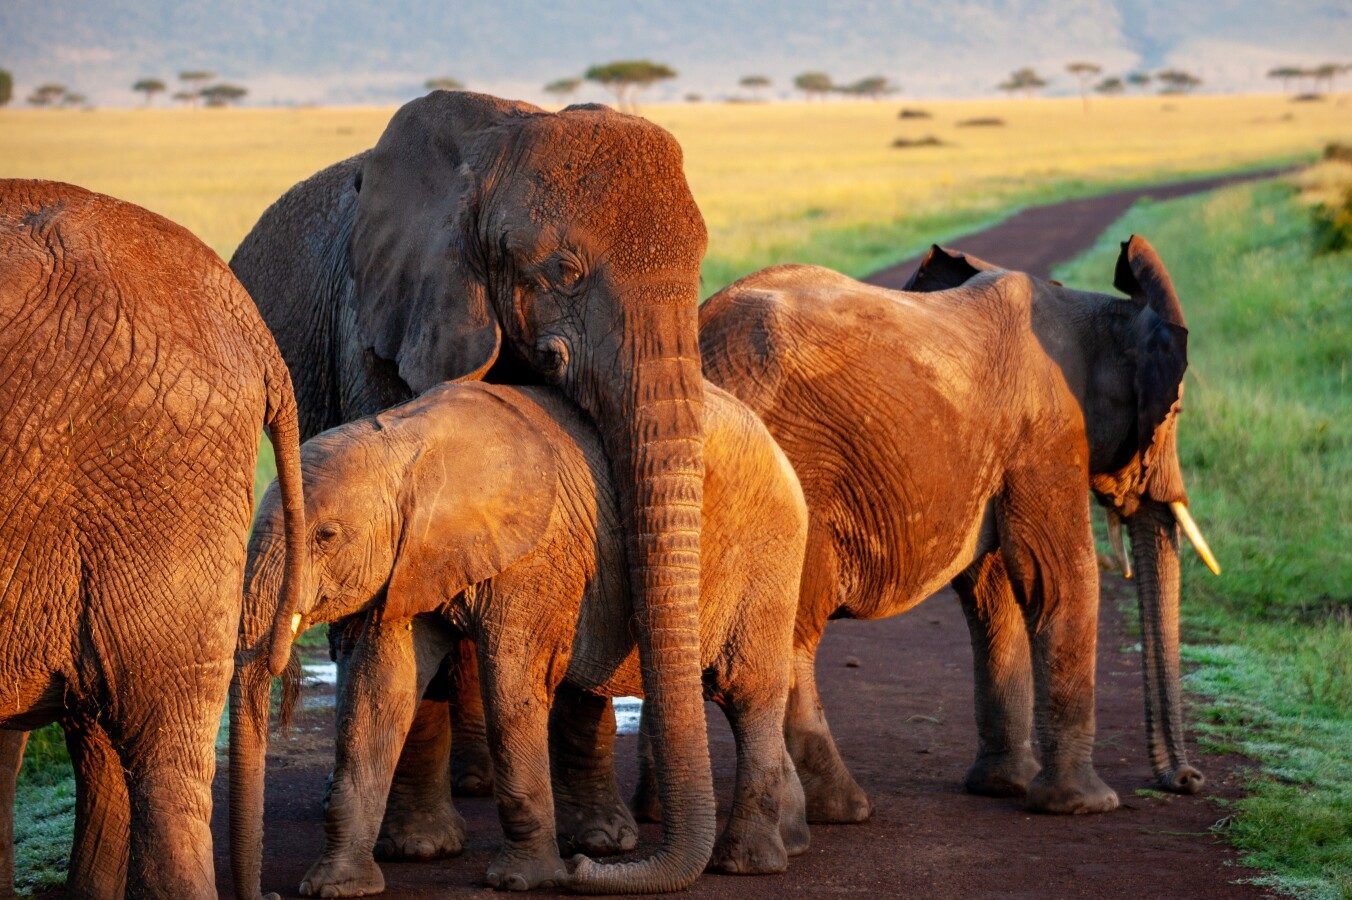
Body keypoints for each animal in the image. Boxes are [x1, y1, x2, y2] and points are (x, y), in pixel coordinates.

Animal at [229, 90, 716, 889]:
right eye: (563, 270)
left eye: (701, 271)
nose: (585, 868)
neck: (495, 151)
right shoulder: (379, 329)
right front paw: (421, 849)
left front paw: (603, 843)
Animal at [231, 380, 809, 895]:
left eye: (326, 536)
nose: (582, 873)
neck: (404, 441)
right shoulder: (408, 562)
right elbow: (379, 693)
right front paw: (335, 887)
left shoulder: (532, 557)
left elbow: (511, 687)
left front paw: (520, 881)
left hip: (769, 552)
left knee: (748, 691)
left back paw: (744, 863)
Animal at [694, 235, 1215, 823]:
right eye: (1174, 413)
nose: (1188, 781)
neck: (1094, 311)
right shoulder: (1049, 435)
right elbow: (1060, 577)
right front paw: (1087, 805)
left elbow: (994, 592)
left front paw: (1006, 786)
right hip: (795, 474)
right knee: (790, 632)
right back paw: (841, 809)